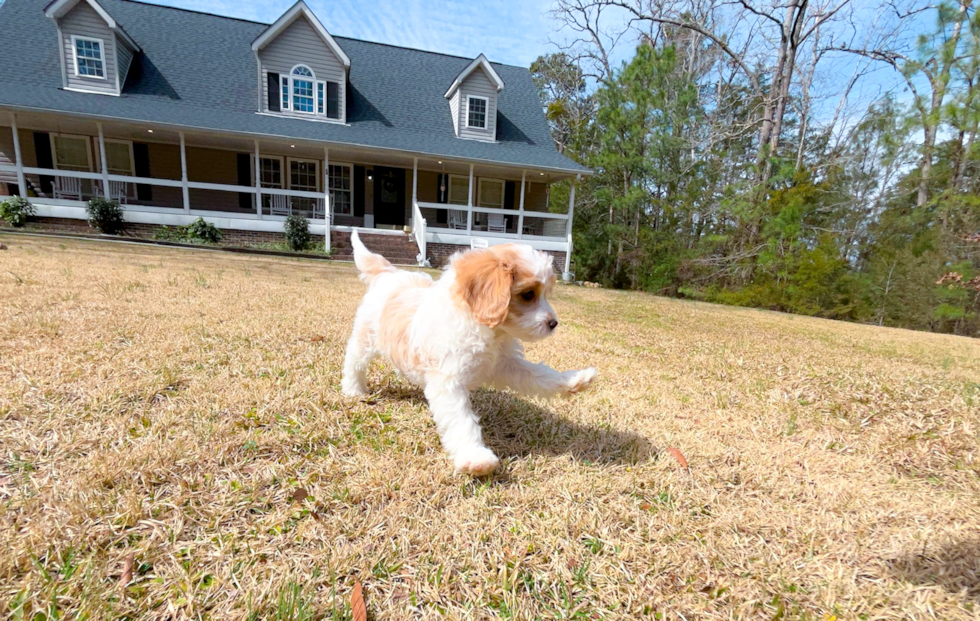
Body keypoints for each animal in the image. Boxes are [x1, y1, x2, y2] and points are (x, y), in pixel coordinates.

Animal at [340, 231, 592, 474]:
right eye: (528, 294)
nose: (554, 323)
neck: (489, 330)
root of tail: (390, 274)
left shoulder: (504, 364)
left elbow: (539, 375)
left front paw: (575, 380)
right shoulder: (449, 382)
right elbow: (461, 420)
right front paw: (476, 457)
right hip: (365, 339)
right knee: (354, 361)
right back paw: (353, 389)